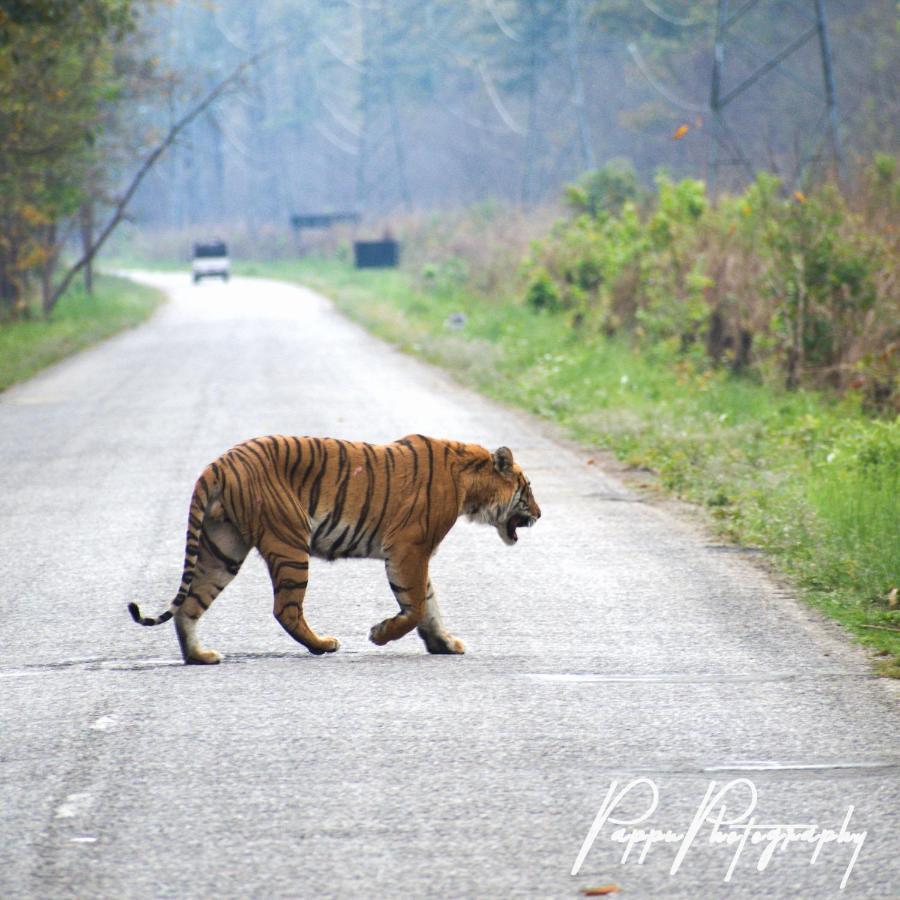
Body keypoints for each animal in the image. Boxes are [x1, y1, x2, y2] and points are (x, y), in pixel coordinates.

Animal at [127, 432, 540, 664]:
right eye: (528, 488)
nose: (539, 514)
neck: (471, 485)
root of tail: (219, 462)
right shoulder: (410, 549)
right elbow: (417, 606)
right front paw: (379, 634)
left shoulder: (414, 554)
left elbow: (429, 605)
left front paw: (445, 644)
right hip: (290, 543)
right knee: (285, 609)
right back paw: (323, 645)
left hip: (222, 549)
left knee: (190, 606)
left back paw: (201, 657)